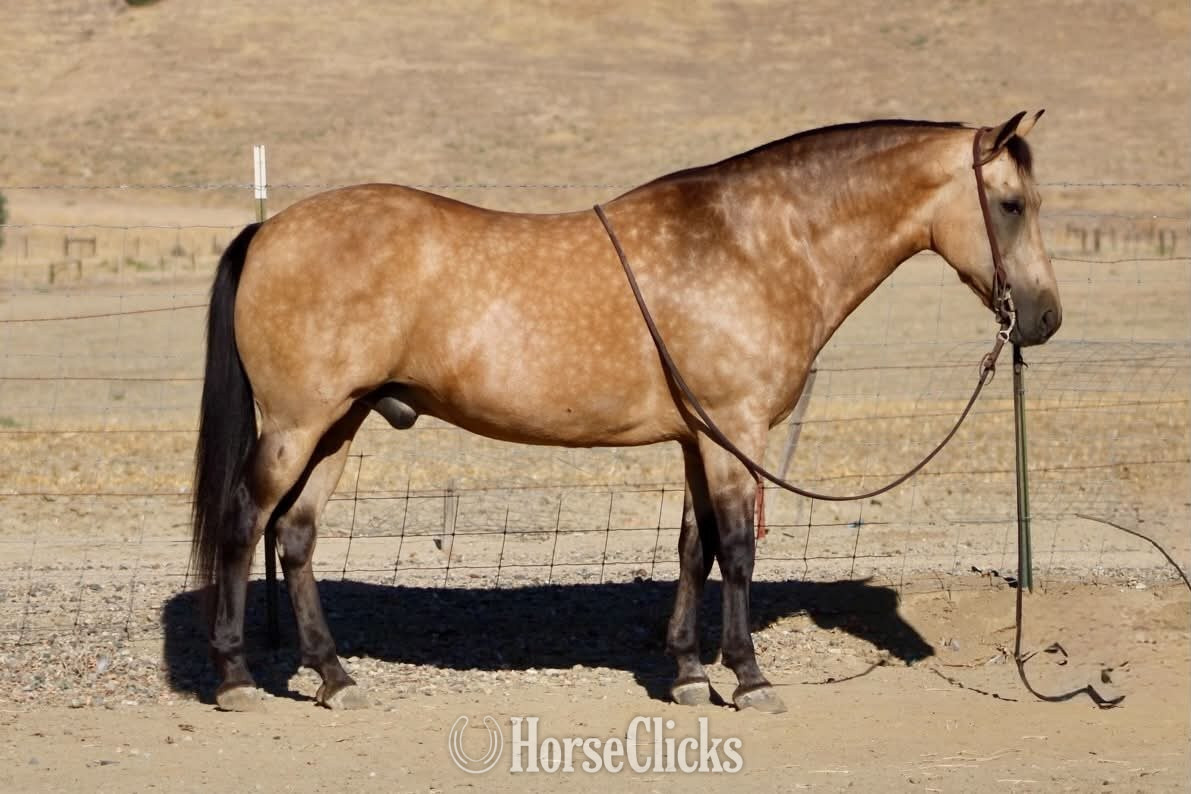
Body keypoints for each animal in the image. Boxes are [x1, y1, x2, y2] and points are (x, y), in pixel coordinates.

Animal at [191, 111, 1060, 713]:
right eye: (1010, 204)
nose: (1045, 319)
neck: (750, 244)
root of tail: (269, 228)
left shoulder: (698, 437)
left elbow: (692, 549)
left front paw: (687, 673)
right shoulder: (734, 432)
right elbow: (736, 551)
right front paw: (748, 678)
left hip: (339, 424)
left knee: (295, 536)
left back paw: (334, 676)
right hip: (298, 425)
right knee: (244, 524)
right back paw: (234, 677)